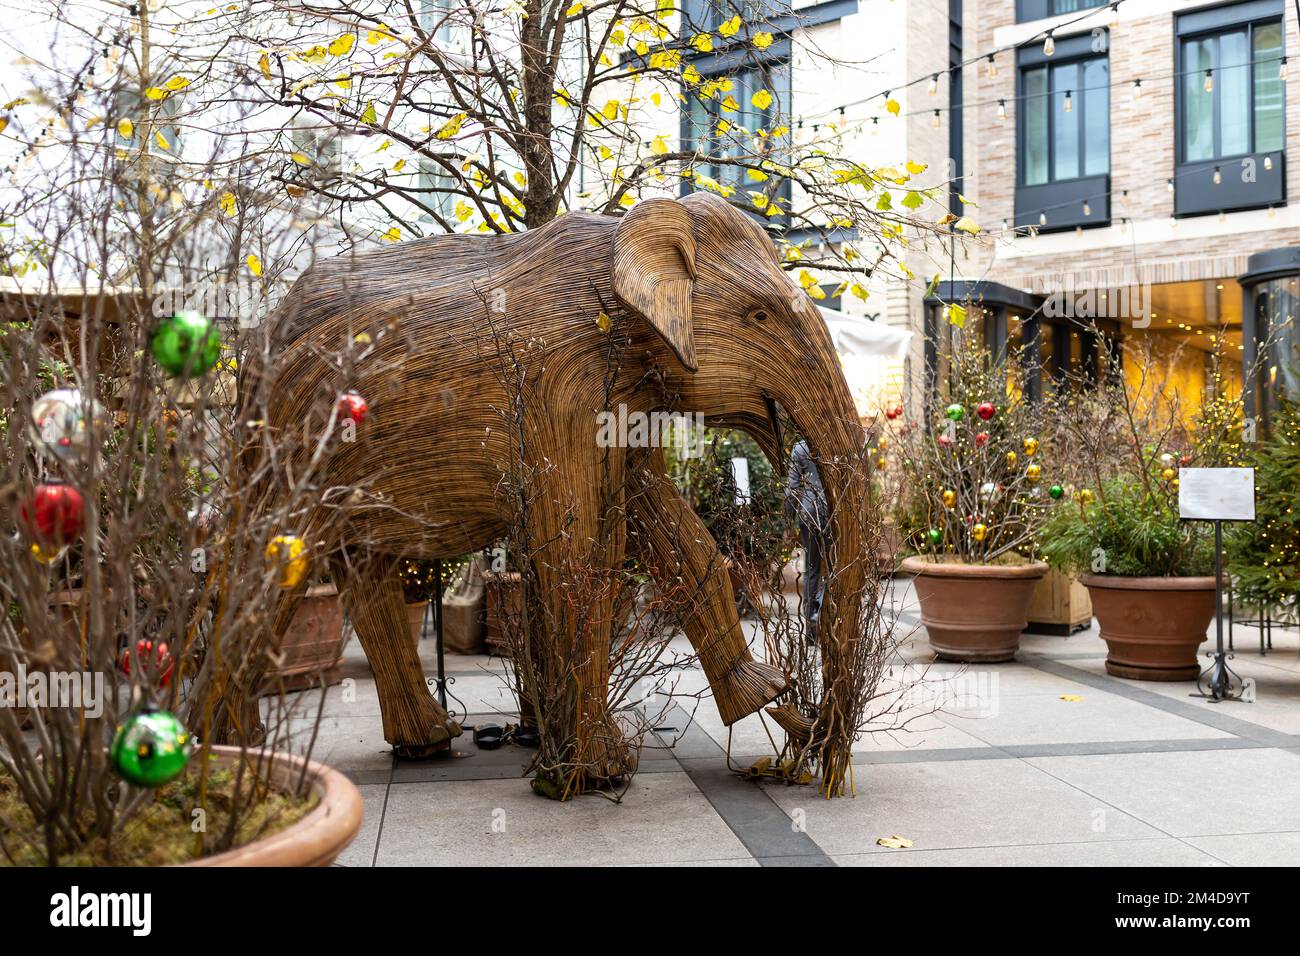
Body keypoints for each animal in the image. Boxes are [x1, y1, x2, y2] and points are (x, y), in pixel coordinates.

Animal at [234, 192, 872, 780]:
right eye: (760, 316)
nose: (817, 750)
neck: (619, 241)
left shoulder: (621, 397)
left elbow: (667, 525)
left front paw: (763, 694)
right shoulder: (558, 386)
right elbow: (578, 549)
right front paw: (600, 772)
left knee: (363, 572)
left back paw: (427, 742)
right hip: (294, 448)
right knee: (269, 559)